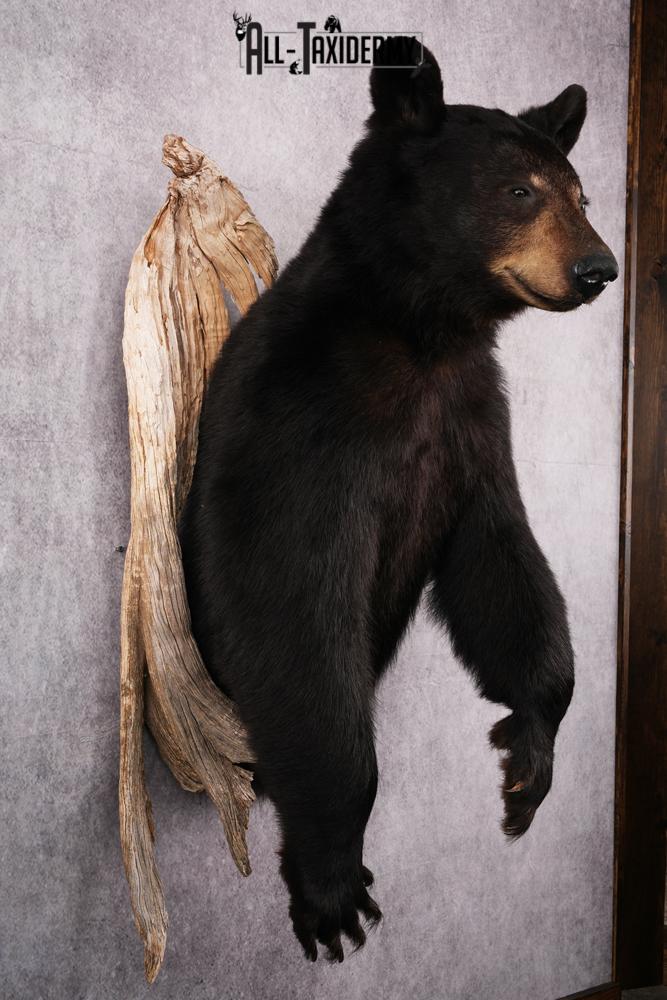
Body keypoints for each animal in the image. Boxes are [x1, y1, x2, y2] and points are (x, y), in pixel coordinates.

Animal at [179, 36, 618, 963]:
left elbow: (501, 561)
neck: (423, 332)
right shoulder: (308, 422)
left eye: (581, 195)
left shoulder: (471, 424)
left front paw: (528, 754)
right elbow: (291, 606)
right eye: (518, 190)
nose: (598, 268)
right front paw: (330, 882)